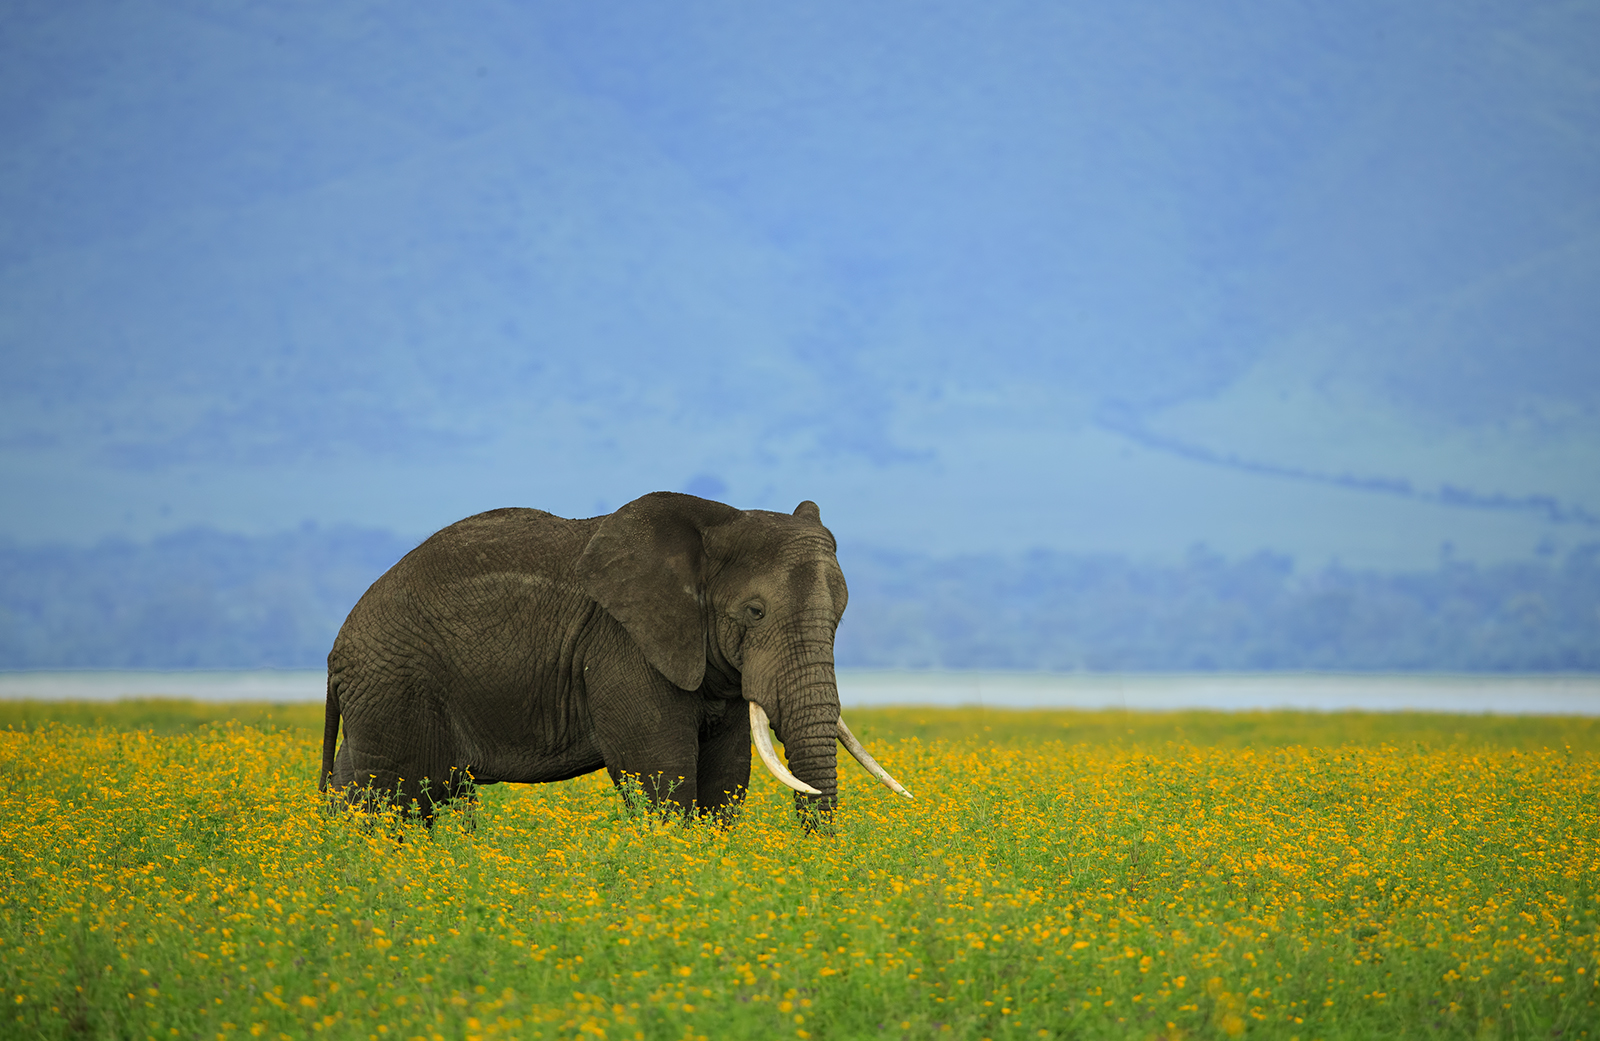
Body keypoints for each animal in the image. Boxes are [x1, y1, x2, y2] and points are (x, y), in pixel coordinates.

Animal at [319, 491, 910, 826]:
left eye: (840, 617)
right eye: (755, 612)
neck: (714, 526)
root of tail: (336, 647)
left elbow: (726, 776)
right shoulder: (622, 646)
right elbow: (663, 774)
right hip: (393, 685)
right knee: (395, 799)